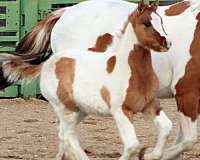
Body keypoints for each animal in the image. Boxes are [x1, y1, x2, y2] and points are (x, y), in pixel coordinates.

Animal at [0, 0, 198, 159]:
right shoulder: (185, 91)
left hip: (81, 107)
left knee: (65, 133)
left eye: (161, 22)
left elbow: (176, 134)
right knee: (66, 133)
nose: (167, 43)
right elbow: (187, 139)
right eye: (147, 23)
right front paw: (148, 155)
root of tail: (65, 11)